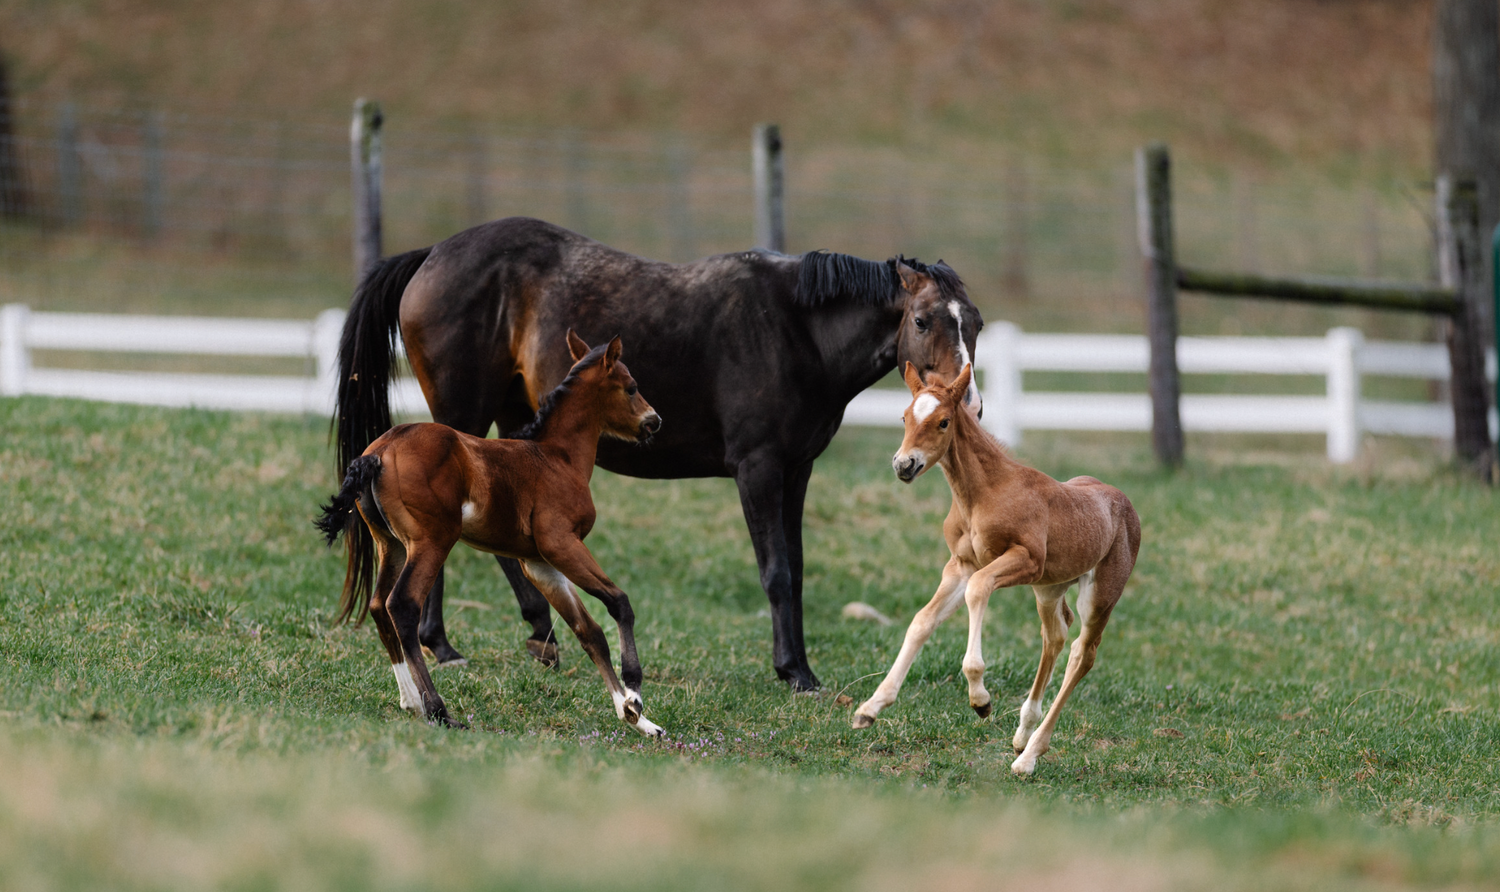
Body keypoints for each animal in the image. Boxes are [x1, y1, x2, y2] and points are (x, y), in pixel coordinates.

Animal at [316, 331, 667, 735]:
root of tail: (381, 451)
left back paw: (411, 702)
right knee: (402, 605)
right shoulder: (561, 544)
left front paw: (638, 720)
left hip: (391, 545)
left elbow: (589, 632)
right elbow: (618, 602)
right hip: (432, 541)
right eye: (631, 386)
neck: (557, 457)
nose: (654, 421)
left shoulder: (540, 564)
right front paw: (635, 694)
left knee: (378, 605)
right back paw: (438, 710)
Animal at [335, 216, 983, 691]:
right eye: (922, 320)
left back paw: (538, 633)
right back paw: (442, 644)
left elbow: (795, 570)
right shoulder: (758, 469)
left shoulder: (796, 471)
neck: (795, 330)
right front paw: (793, 673)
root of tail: (432, 254)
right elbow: (775, 572)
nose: (968, 406)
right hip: (461, 420)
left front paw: (799, 665)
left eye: (974, 323)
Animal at [851, 362, 1140, 775]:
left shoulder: (1024, 560)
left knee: (1083, 653)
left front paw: (980, 699)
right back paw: (1023, 732)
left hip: (1098, 593)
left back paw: (1029, 756)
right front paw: (870, 708)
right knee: (1055, 635)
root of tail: (1125, 504)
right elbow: (922, 621)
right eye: (905, 417)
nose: (904, 465)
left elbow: (979, 590)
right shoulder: (960, 566)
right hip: (1049, 588)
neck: (983, 493)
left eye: (943, 422)